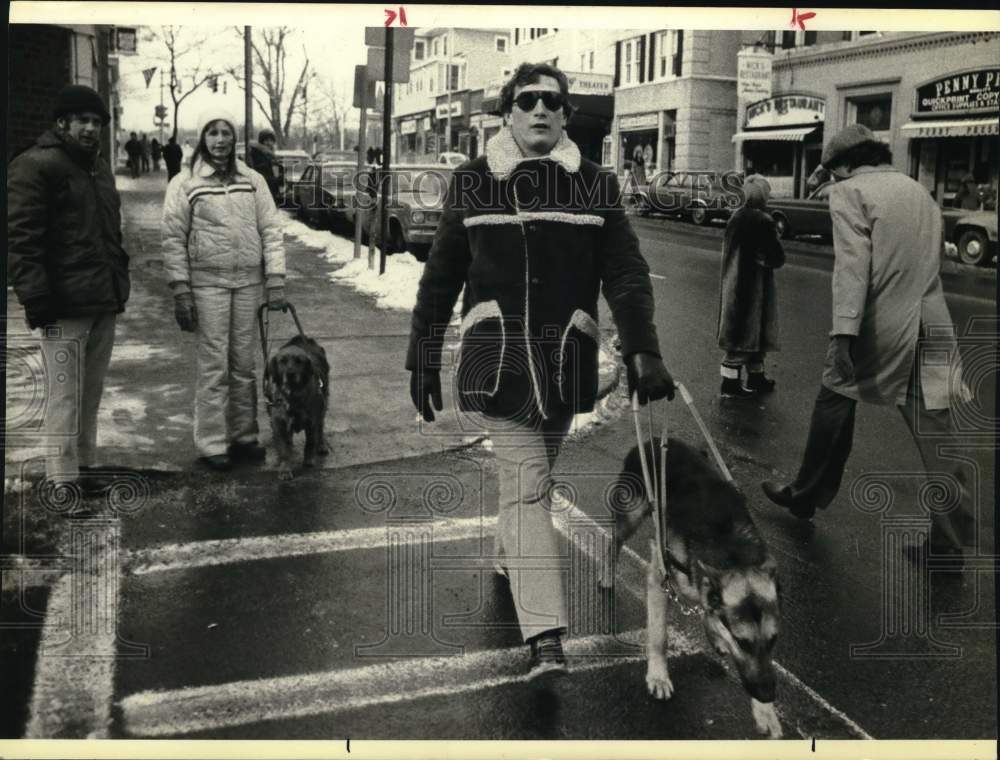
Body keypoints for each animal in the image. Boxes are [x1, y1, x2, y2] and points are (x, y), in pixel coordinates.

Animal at [266, 336, 332, 478]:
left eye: (299, 361)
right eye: (282, 361)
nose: (290, 374)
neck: (293, 394)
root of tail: (304, 338)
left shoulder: (311, 422)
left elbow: (310, 442)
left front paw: (308, 460)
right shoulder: (279, 423)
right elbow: (284, 449)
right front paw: (285, 468)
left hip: (323, 404)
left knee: (321, 427)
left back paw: (322, 445)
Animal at [596, 436, 784, 740]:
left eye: (773, 640)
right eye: (742, 642)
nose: (767, 695)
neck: (731, 550)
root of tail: (657, 440)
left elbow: (710, 611)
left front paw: (765, 713)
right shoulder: (658, 581)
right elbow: (659, 637)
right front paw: (658, 676)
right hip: (630, 516)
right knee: (614, 541)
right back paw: (607, 573)